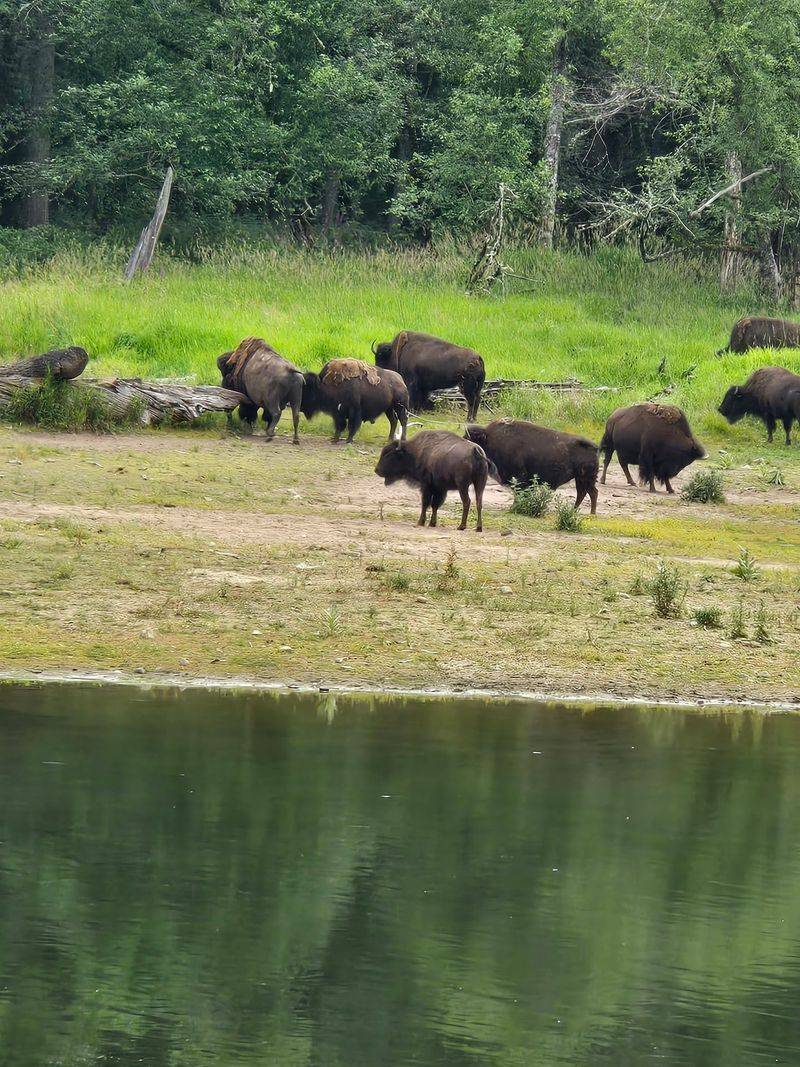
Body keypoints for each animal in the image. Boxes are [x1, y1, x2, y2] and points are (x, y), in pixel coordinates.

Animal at [465, 418, 600, 513]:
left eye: (471, 440)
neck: (489, 438)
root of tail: (594, 447)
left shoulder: (519, 476)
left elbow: (519, 492)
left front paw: (515, 507)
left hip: (586, 478)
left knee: (592, 492)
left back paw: (591, 513)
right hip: (580, 479)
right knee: (583, 493)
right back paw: (575, 510)